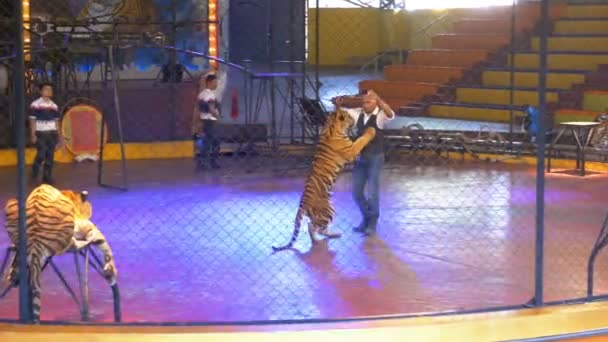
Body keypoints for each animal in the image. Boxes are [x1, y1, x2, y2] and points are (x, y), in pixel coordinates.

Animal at [3, 183, 117, 322]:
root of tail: (35, 243)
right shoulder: (89, 227)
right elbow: (105, 245)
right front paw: (111, 273)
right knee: (72, 245)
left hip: (12, 203)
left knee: (18, 251)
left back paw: (13, 274)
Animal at [272, 108, 376, 252]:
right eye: (349, 116)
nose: (354, 119)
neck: (331, 126)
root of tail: (302, 205)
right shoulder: (351, 150)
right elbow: (361, 140)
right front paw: (371, 130)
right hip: (328, 212)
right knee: (312, 226)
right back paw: (319, 240)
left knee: (315, 227)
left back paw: (333, 234)